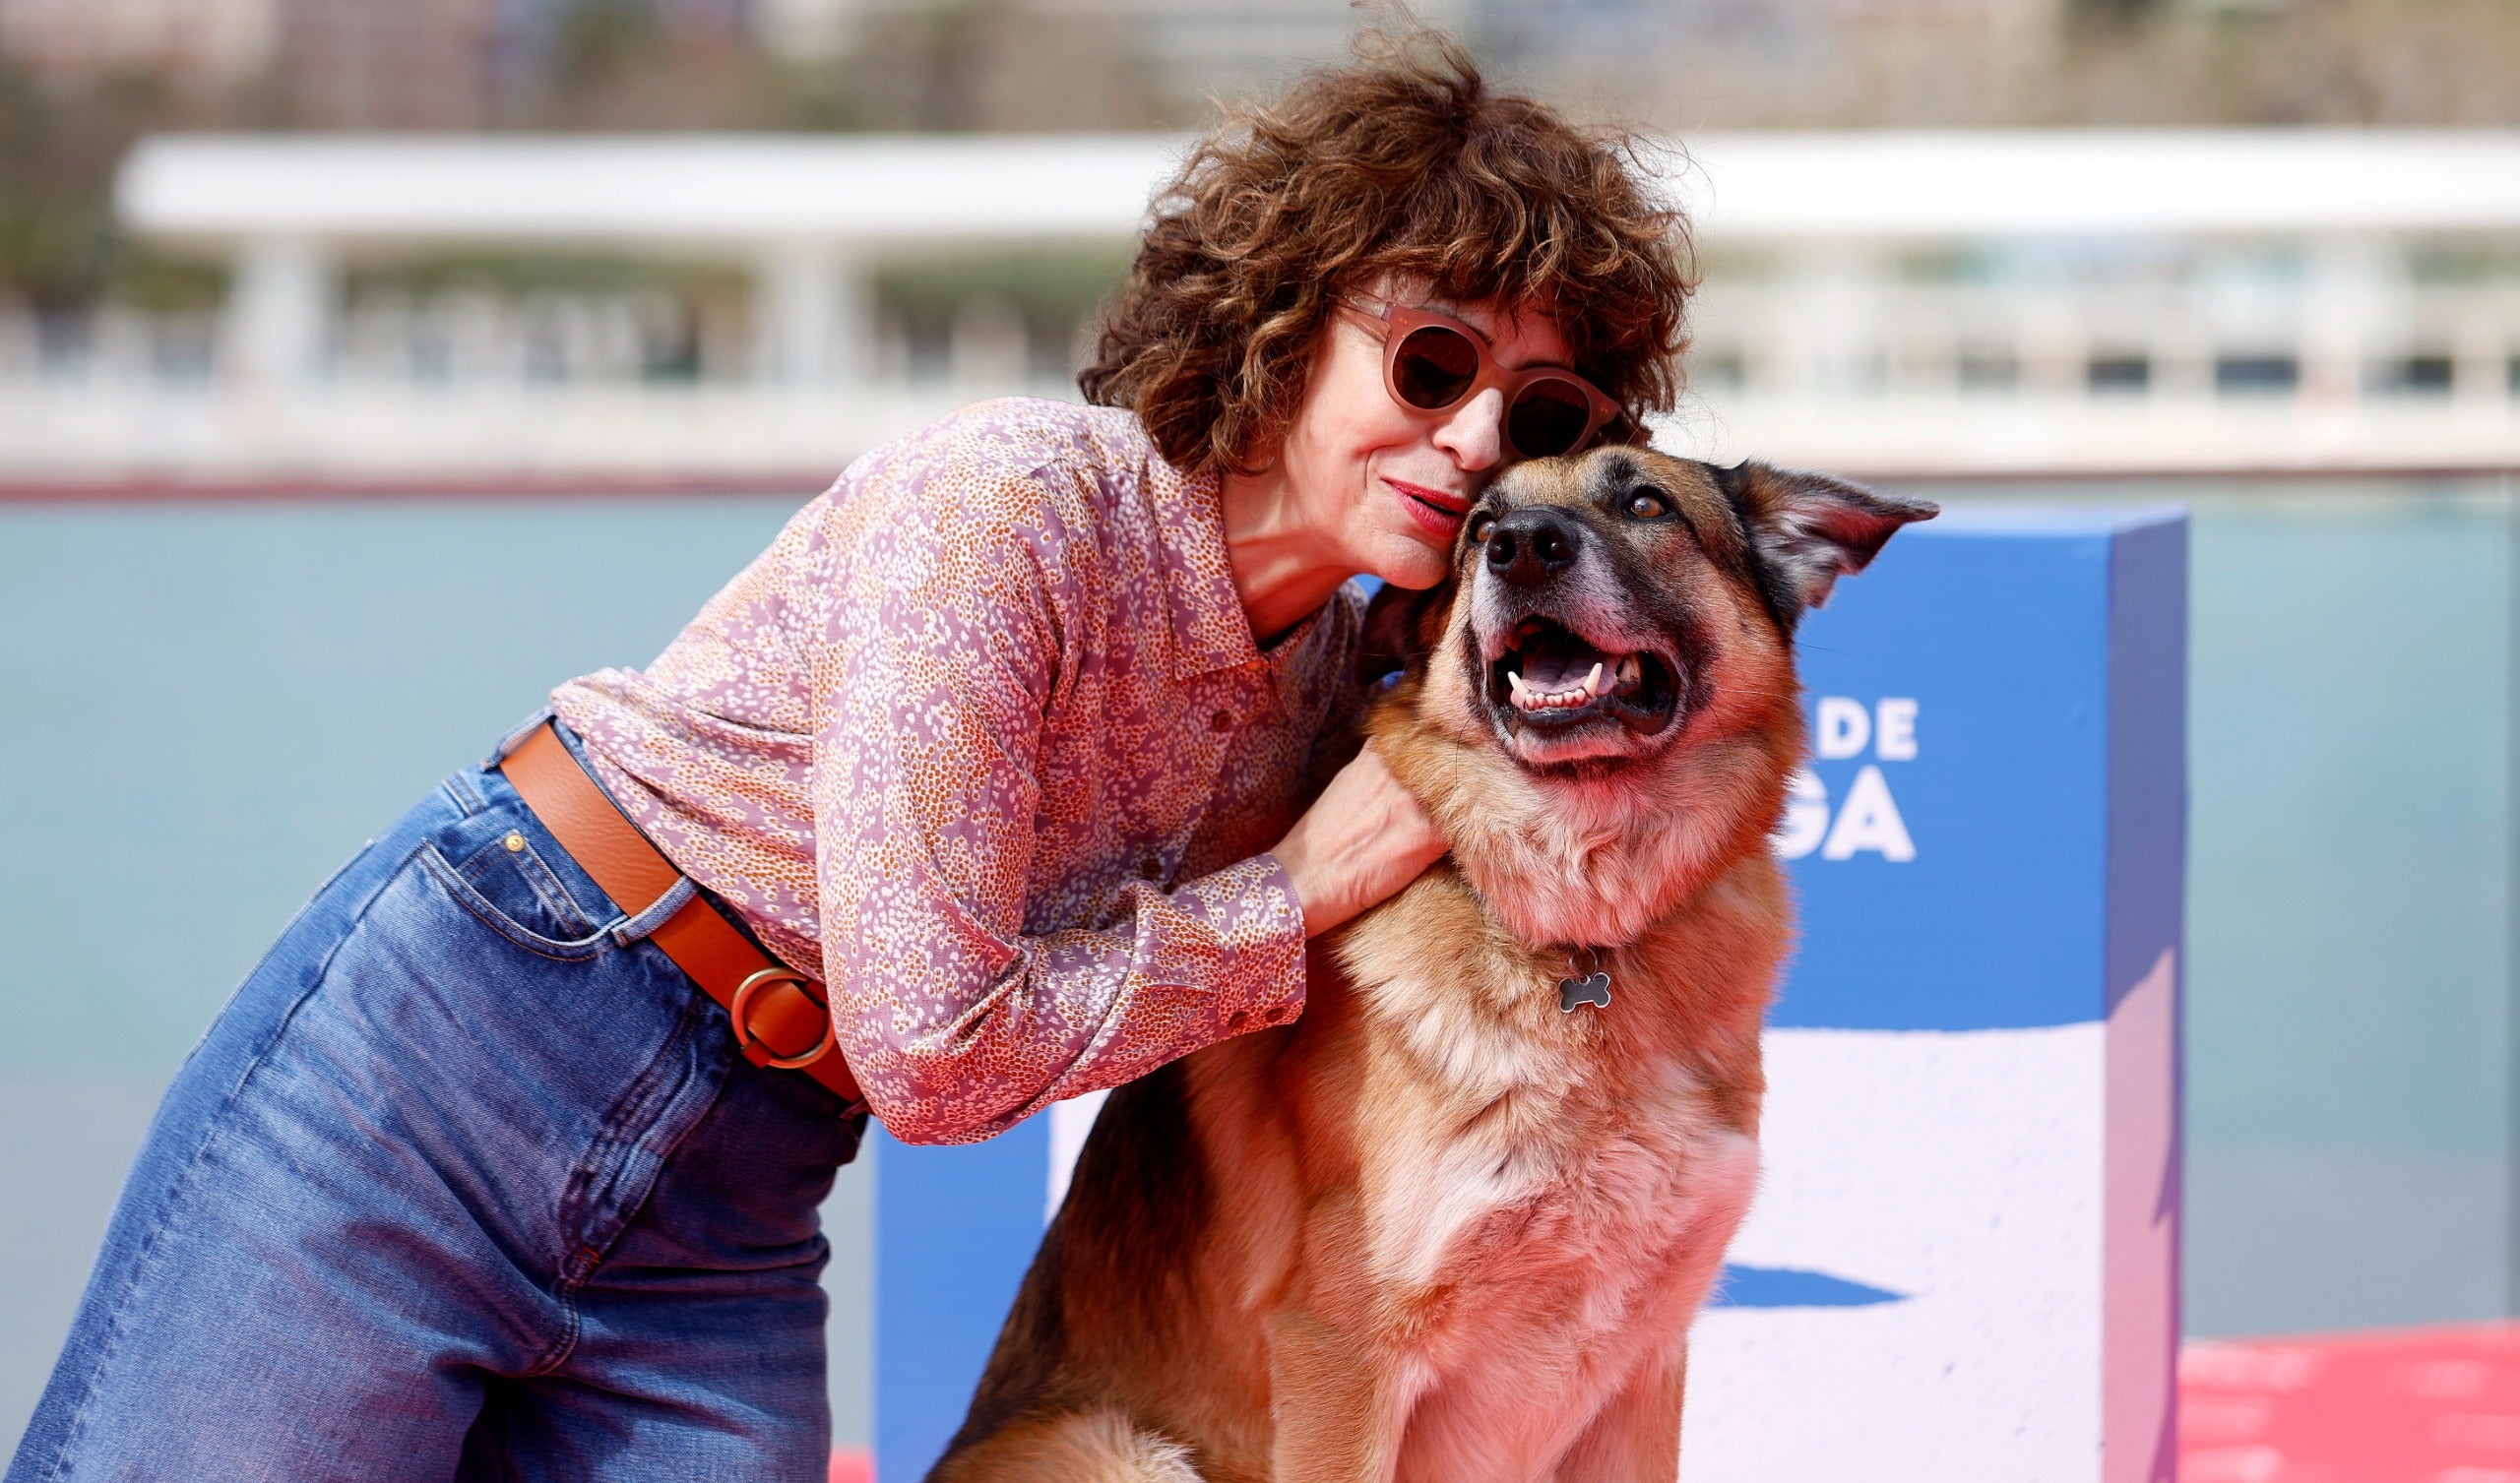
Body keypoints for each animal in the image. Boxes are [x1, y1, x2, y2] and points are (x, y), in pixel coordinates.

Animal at [927, 445, 1924, 1470]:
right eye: (1480, 527)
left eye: (1647, 503)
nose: (1524, 546)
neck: (1585, 926)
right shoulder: (1344, 1354)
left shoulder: (1645, 1369)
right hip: (1123, 1447)